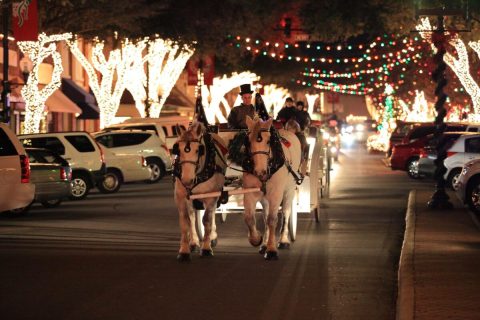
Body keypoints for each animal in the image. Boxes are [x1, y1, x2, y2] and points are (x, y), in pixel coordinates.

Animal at [172, 121, 227, 262]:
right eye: (178, 150)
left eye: (198, 150)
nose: (187, 180)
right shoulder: (180, 197)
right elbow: (185, 221)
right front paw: (184, 250)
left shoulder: (211, 197)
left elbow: (207, 219)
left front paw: (206, 248)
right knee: (192, 216)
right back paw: (194, 242)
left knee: (212, 213)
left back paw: (212, 236)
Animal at [244, 116, 300, 258]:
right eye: (248, 141)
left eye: (269, 141)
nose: (260, 171)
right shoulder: (249, 193)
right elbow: (250, 218)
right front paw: (257, 239)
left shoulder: (276, 194)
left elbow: (272, 220)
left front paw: (271, 250)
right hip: (265, 197)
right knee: (265, 214)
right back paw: (264, 243)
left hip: (289, 190)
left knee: (286, 212)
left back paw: (283, 240)